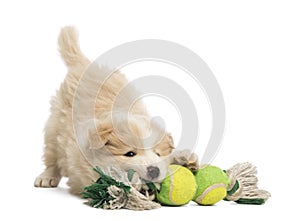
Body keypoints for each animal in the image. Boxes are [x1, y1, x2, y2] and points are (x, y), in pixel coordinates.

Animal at [34, 26, 197, 194]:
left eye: (158, 153)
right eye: (129, 153)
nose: (154, 170)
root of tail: (85, 64)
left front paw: (186, 160)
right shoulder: (82, 164)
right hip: (55, 125)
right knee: (52, 155)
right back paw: (46, 177)